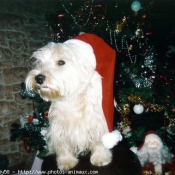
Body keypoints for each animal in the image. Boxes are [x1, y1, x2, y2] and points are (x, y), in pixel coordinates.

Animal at [25, 33, 121, 170]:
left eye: (61, 62)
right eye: (40, 62)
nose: (38, 78)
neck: (74, 97)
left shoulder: (99, 122)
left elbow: (100, 141)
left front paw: (100, 158)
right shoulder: (59, 126)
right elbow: (62, 144)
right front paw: (66, 161)